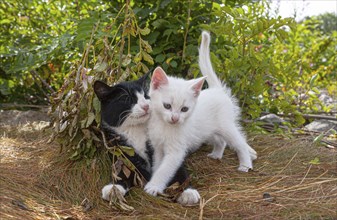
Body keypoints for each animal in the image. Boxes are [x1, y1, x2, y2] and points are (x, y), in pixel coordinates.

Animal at [93, 75, 198, 205]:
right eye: (126, 99)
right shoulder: (118, 149)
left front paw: (187, 191)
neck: (136, 130)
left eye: (146, 96)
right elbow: (121, 169)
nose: (146, 106)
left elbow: (174, 165)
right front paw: (114, 188)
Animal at [143, 30, 256, 196]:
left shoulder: (176, 151)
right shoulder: (158, 147)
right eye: (167, 106)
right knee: (221, 141)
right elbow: (158, 164)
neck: (165, 126)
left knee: (240, 142)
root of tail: (217, 90)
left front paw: (154, 186)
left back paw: (245, 165)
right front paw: (155, 180)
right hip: (208, 130)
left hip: (226, 126)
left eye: (184, 109)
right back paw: (216, 154)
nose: (175, 118)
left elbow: (164, 169)